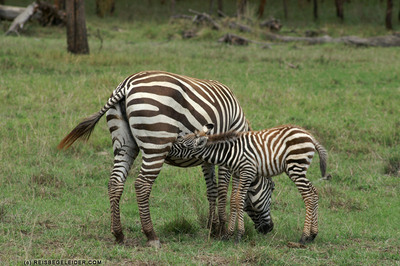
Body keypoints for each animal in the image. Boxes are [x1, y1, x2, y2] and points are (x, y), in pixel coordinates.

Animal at [57, 70, 276, 247]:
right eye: (272, 188)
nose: (269, 229)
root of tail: (126, 85)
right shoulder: (228, 151)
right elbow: (225, 190)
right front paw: (224, 231)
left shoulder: (208, 155)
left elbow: (211, 190)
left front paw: (213, 228)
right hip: (156, 143)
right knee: (142, 185)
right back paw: (151, 235)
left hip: (124, 144)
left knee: (115, 183)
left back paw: (118, 234)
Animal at [172, 123, 328, 243]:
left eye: (183, 145)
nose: (168, 150)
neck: (230, 152)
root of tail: (309, 135)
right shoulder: (237, 173)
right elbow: (233, 201)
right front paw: (229, 234)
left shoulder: (247, 171)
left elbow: (239, 199)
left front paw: (238, 235)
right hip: (298, 169)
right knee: (314, 193)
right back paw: (313, 235)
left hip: (295, 167)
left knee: (308, 196)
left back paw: (304, 237)